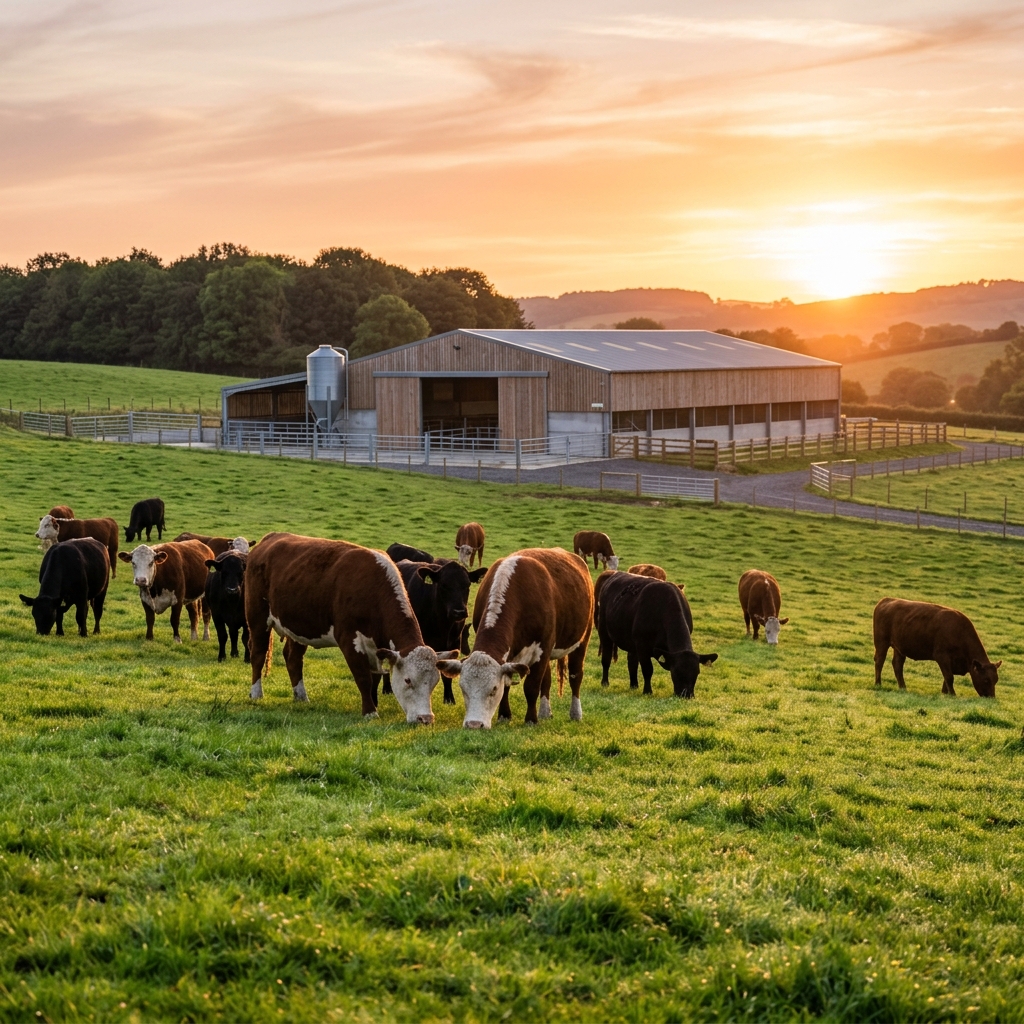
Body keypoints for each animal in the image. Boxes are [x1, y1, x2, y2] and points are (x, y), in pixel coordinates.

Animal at [244, 533, 459, 723]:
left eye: (434, 682)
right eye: (407, 680)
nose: (426, 719)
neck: (373, 591)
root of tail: (270, 538)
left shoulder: (377, 648)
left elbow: (374, 679)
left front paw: (373, 704)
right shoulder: (349, 639)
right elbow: (363, 677)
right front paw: (370, 712)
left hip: (299, 626)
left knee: (293, 658)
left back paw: (301, 696)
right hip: (257, 617)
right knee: (258, 654)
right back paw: (256, 693)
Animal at [437, 548, 593, 729]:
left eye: (493, 689)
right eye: (463, 689)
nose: (474, 724)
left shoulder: (543, 648)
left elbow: (531, 686)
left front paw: (531, 720)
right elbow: (509, 683)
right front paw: (504, 715)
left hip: (582, 640)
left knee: (576, 675)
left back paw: (575, 713)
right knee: (546, 680)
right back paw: (545, 712)